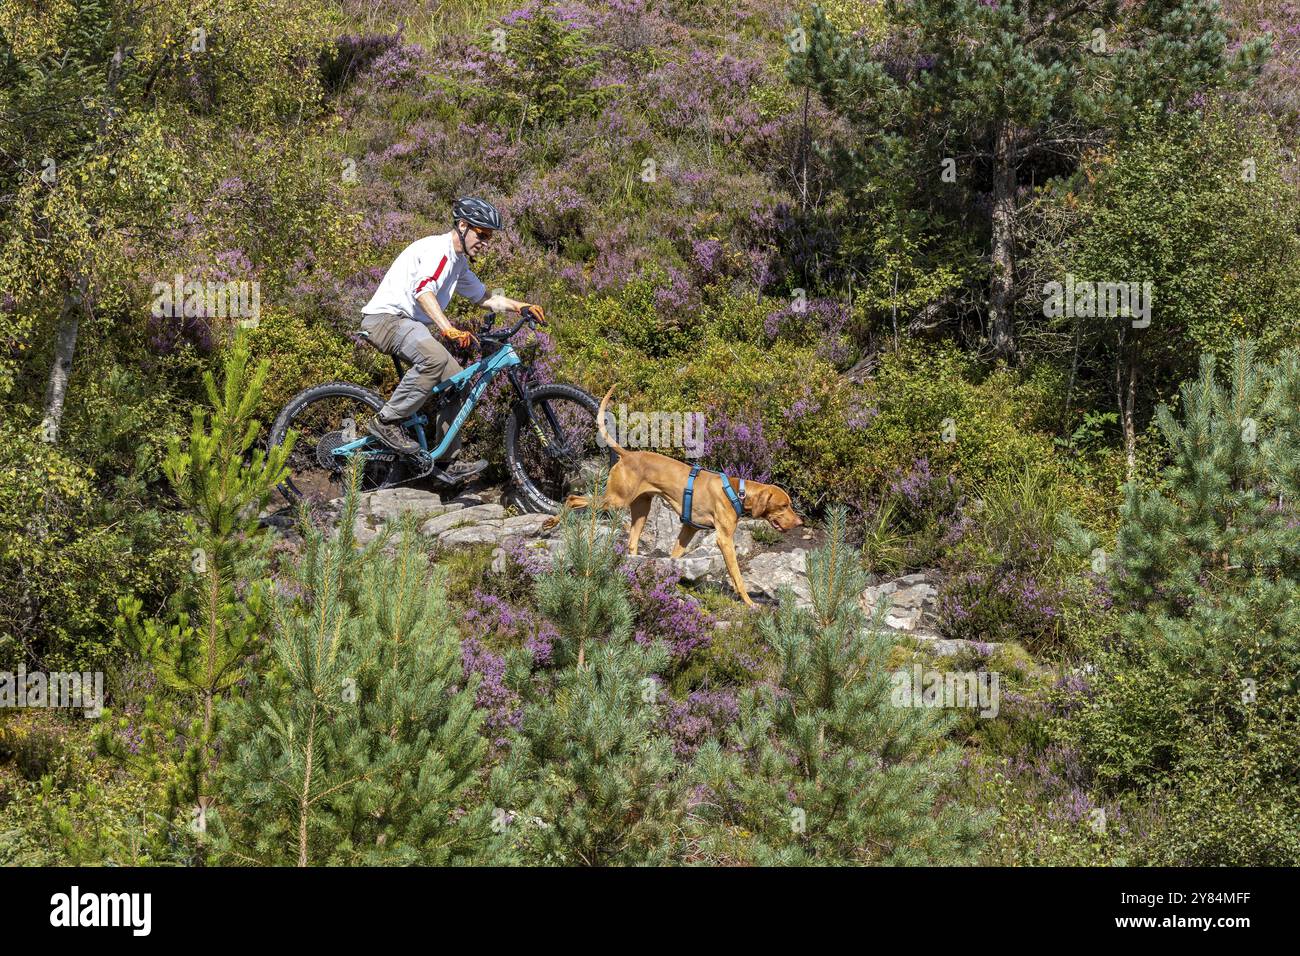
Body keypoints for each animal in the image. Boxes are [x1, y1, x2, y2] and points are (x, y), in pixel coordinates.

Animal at [540, 387, 800, 606]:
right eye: (784, 505)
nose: (799, 522)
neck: (739, 492)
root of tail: (627, 455)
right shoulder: (724, 539)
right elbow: (736, 574)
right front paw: (748, 601)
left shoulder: (688, 529)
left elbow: (675, 557)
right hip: (615, 500)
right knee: (573, 499)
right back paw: (552, 521)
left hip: (641, 510)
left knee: (631, 543)